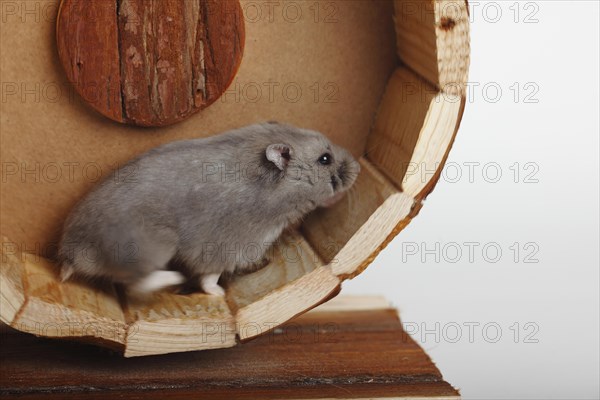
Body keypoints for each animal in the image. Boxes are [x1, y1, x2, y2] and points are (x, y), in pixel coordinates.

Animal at [58, 122, 360, 296]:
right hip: (156, 244)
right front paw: (218, 293)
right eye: (325, 159)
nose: (358, 166)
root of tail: (72, 253)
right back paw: (174, 277)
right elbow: (210, 277)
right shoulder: (229, 247)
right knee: (136, 283)